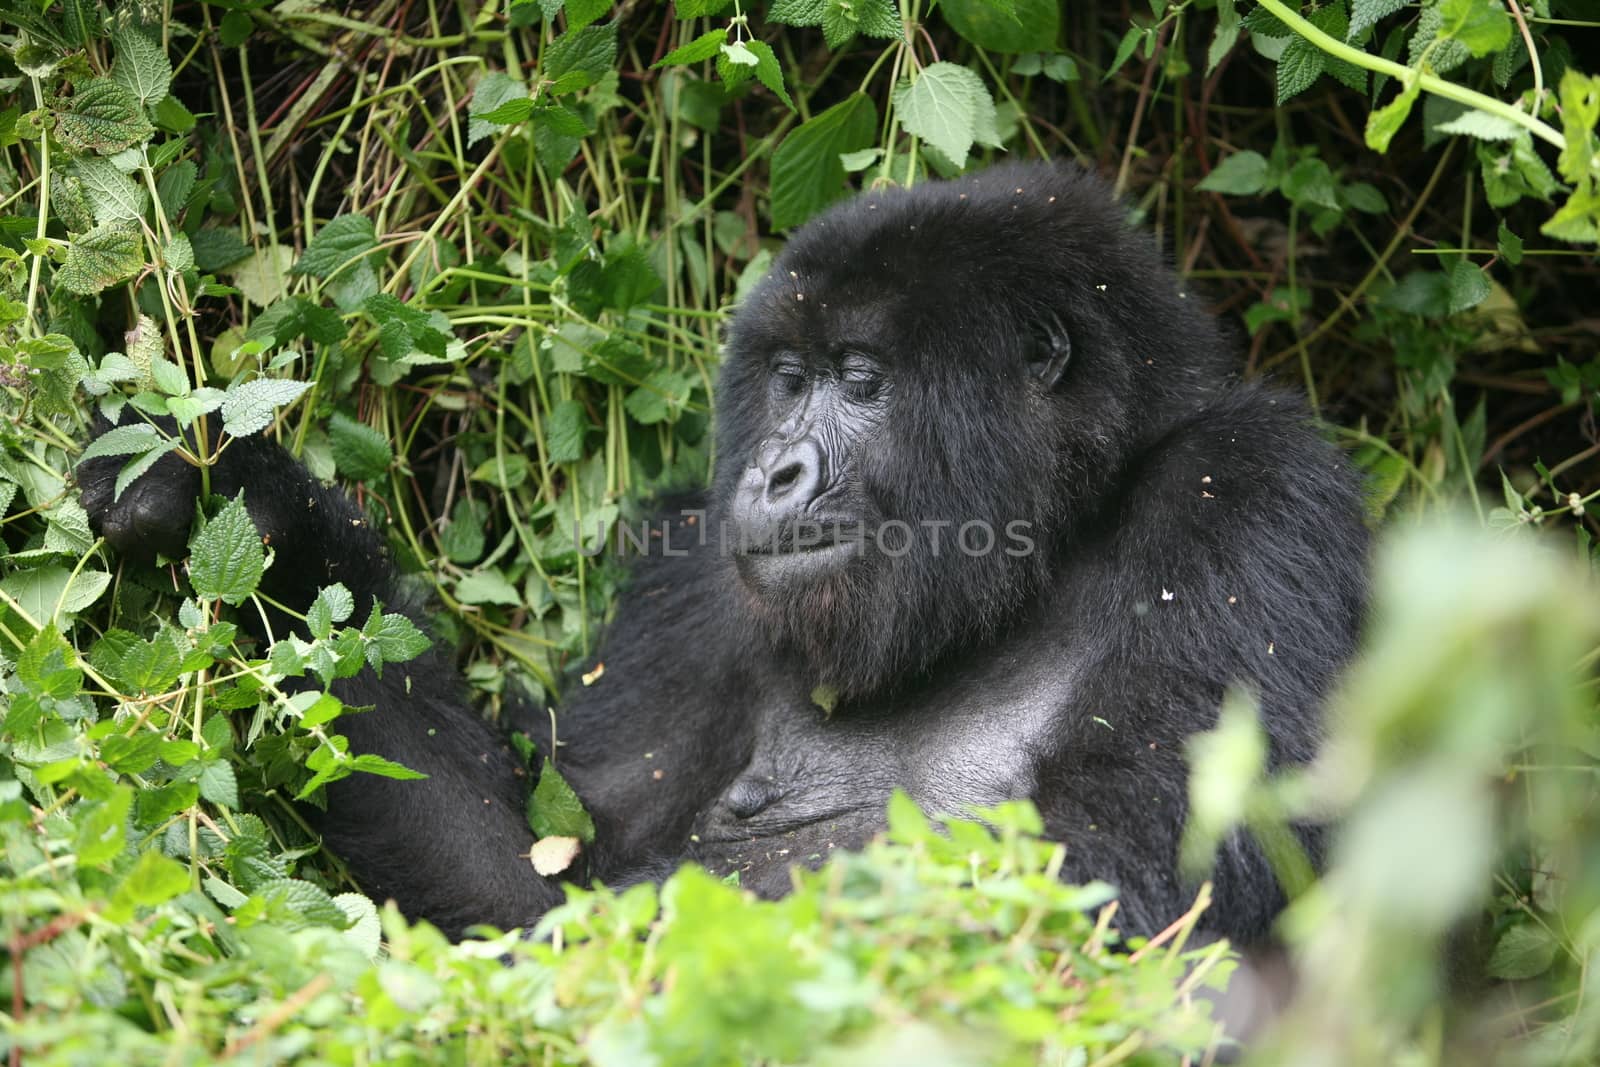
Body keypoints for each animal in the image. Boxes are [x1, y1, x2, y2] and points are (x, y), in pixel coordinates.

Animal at [81, 158, 1369, 940]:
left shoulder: (1252, 496)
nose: (773, 469)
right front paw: (233, 494)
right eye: (789, 379)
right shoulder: (697, 570)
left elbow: (1132, 872)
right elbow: (536, 867)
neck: (1050, 543)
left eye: (861, 379)